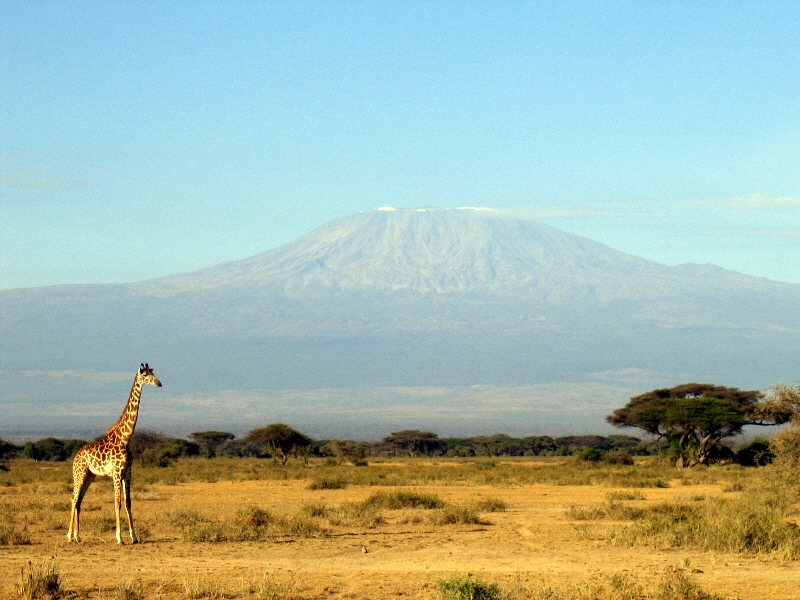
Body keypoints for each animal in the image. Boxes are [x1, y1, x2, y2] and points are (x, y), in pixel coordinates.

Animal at [69, 360, 162, 544]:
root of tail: (76, 456)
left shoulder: (128, 472)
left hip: (90, 476)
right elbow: (117, 502)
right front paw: (119, 538)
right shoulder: (116, 472)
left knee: (79, 500)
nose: (159, 383)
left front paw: (134, 537)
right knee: (73, 498)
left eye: (153, 373)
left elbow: (128, 502)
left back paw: (78, 536)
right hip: (80, 473)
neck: (125, 437)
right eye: (145, 375)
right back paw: (69, 535)